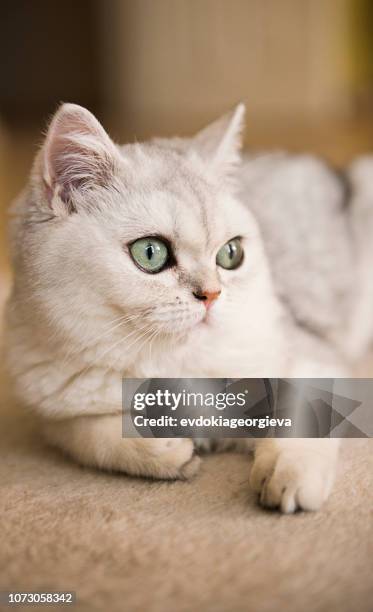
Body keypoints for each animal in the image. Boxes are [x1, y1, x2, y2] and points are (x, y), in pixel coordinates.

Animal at [5, 104, 346, 512]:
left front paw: (288, 476)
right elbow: (90, 434)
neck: (173, 363)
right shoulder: (55, 415)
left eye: (231, 254)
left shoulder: (315, 361)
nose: (212, 294)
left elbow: (303, 415)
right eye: (150, 253)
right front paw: (165, 449)